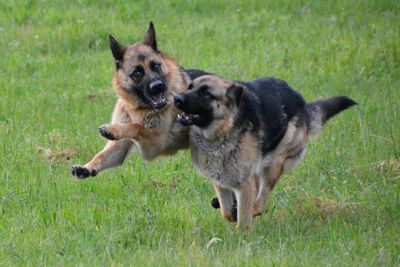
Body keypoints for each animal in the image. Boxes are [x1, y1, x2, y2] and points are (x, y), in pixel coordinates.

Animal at [173, 74, 354, 229]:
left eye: (205, 93)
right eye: (189, 87)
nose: (176, 98)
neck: (223, 131)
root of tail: (301, 102)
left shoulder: (244, 183)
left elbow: (243, 217)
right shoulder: (220, 181)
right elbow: (226, 212)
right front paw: (229, 210)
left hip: (274, 164)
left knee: (261, 202)